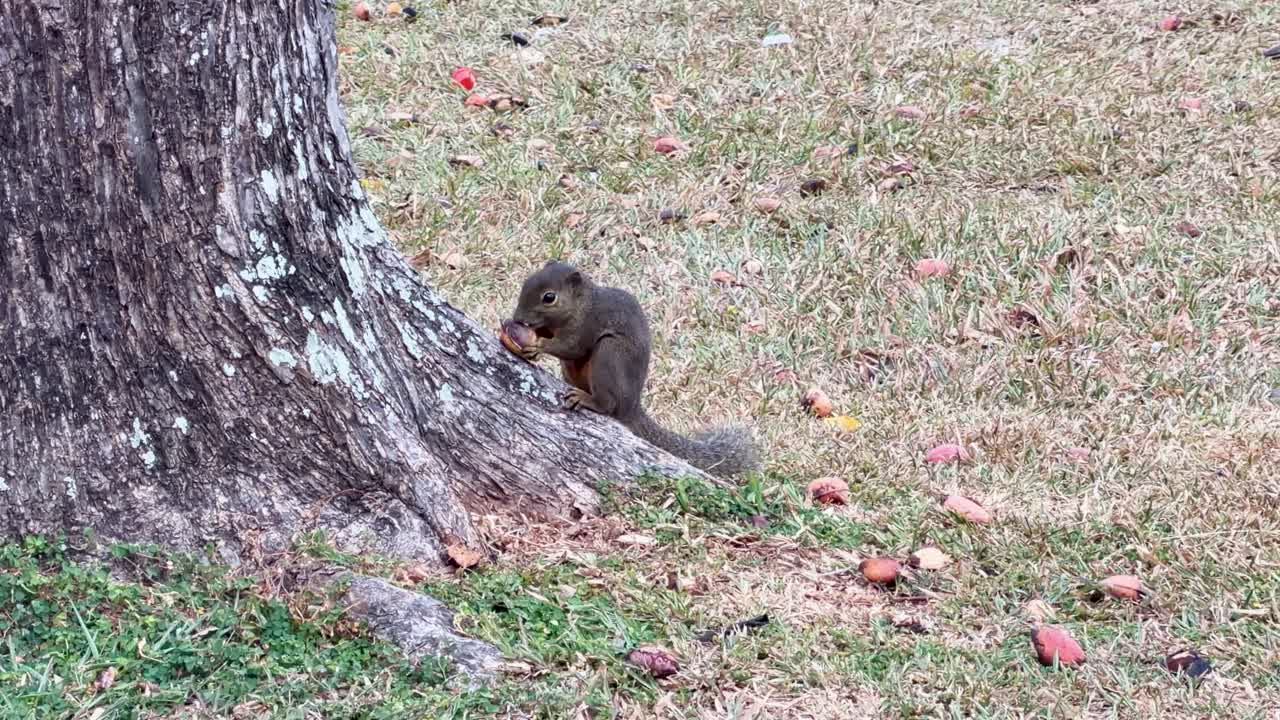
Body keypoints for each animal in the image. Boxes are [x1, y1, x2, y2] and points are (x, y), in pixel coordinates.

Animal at [510, 260, 758, 477]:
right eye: (527, 281)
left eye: (549, 297)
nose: (517, 318)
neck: (582, 304)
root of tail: (631, 407)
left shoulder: (588, 324)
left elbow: (571, 347)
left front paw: (538, 346)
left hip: (610, 354)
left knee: (608, 405)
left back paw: (588, 400)